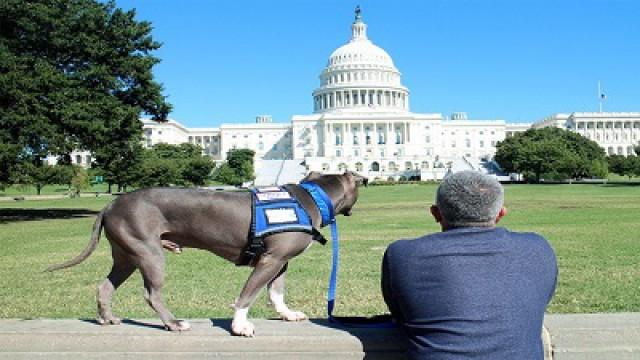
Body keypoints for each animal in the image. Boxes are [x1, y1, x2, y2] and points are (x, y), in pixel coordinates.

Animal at [47, 172, 364, 338]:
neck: (313, 197)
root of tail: (109, 206)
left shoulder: (280, 262)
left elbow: (276, 293)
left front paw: (288, 314)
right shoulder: (269, 260)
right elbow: (247, 295)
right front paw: (240, 326)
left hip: (126, 255)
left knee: (105, 286)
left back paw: (107, 318)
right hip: (149, 254)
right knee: (152, 294)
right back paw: (174, 324)